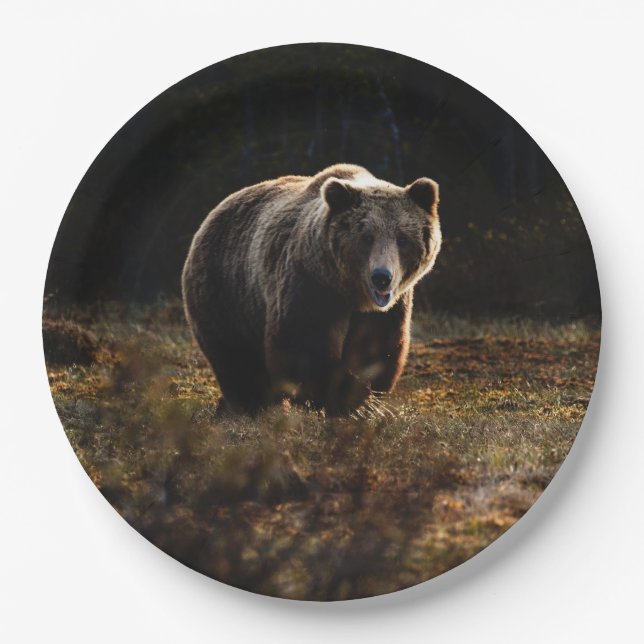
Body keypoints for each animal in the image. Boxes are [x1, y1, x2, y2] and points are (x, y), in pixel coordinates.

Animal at [182, 164, 441, 415]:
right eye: (367, 237)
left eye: (402, 238)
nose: (381, 278)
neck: (350, 293)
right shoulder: (309, 283)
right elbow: (302, 344)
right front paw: (351, 400)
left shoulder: (388, 308)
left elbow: (377, 347)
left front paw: (366, 398)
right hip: (226, 292)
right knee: (236, 359)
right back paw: (251, 405)